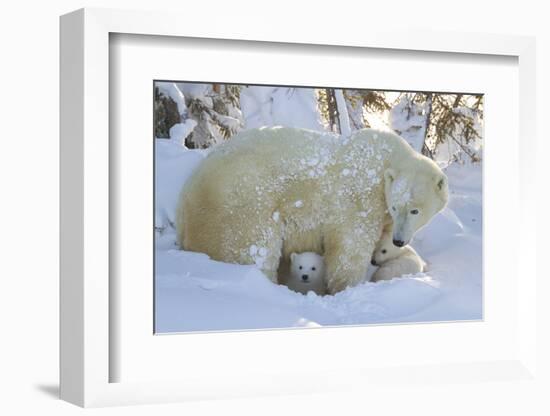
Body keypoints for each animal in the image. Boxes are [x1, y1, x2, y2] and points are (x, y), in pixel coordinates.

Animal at [177, 127, 448, 292]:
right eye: (396, 206)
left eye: (414, 211)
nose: (399, 240)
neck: (385, 160)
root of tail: (187, 192)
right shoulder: (360, 198)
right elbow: (349, 249)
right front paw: (346, 287)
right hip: (240, 206)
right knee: (253, 249)